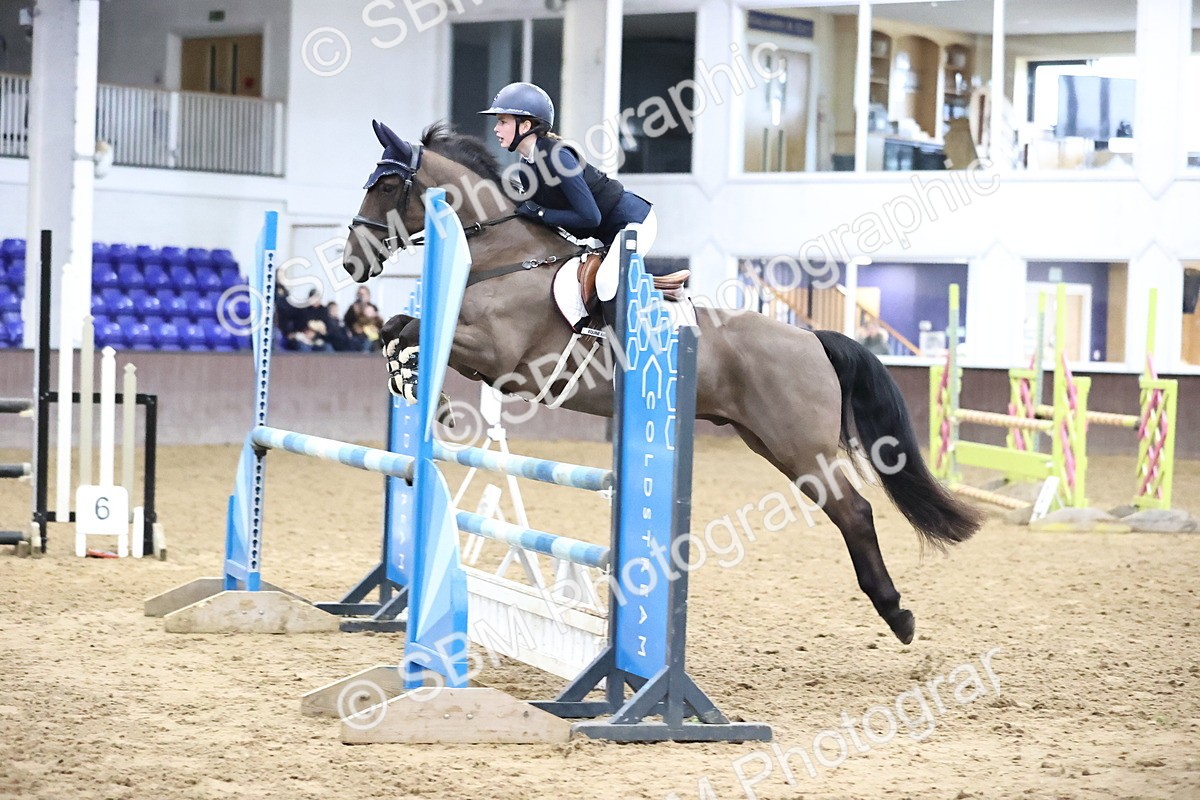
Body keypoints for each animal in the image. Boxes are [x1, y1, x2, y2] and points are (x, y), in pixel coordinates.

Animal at [342, 120, 982, 645]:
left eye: (385, 185)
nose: (351, 262)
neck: (504, 251)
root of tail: (811, 340)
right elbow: (397, 329)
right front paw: (414, 385)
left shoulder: (499, 355)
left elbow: (417, 332)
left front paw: (433, 399)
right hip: (769, 442)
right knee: (847, 509)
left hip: (804, 447)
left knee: (856, 511)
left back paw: (897, 614)